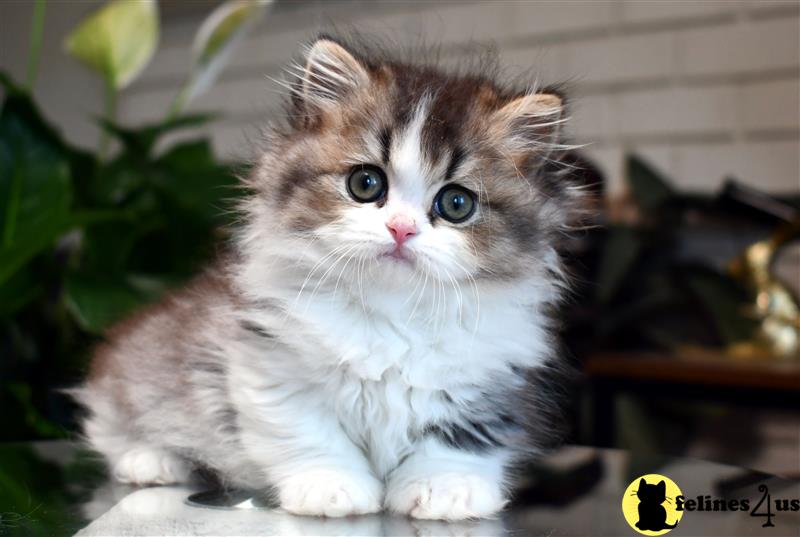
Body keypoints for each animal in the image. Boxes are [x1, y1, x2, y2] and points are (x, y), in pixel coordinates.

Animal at [73, 36, 588, 520]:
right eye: (366, 183)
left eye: (456, 204)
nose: (401, 229)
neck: (391, 312)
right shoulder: (270, 363)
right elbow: (309, 433)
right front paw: (331, 485)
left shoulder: (489, 383)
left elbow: (457, 442)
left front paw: (444, 488)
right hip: (138, 369)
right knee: (115, 427)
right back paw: (152, 459)